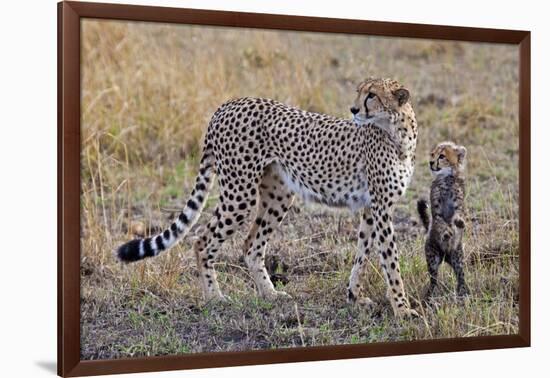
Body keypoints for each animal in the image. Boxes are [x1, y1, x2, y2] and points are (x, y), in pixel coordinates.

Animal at [118, 78, 420, 318]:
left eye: (372, 95)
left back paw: (270, 293)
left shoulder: (372, 207)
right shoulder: (381, 208)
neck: (399, 132)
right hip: (239, 193)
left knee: (251, 245)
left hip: (278, 194)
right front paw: (403, 310)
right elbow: (391, 262)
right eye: (360, 93)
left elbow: (362, 255)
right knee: (202, 240)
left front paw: (355, 297)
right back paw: (214, 297)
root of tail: (227, 104)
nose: (354, 110)